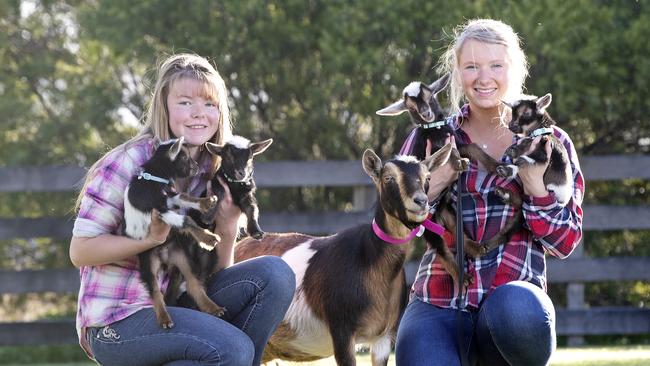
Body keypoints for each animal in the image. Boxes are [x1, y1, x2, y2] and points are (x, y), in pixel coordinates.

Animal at [123, 138, 221, 328]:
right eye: (184, 158)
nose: (197, 166)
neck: (153, 177)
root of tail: (164, 257)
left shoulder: (169, 199)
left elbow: (183, 196)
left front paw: (206, 202)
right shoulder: (160, 210)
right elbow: (186, 220)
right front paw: (209, 238)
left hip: (182, 257)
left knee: (193, 284)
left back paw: (213, 308)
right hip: (148, 263)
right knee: (155, 291)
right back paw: (164, 319)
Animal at [233, 147, 450, 366]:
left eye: (428, 177)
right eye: (388, 178)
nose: (421, 201)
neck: (369, 260)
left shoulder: (384, 337)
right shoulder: (342, 330)